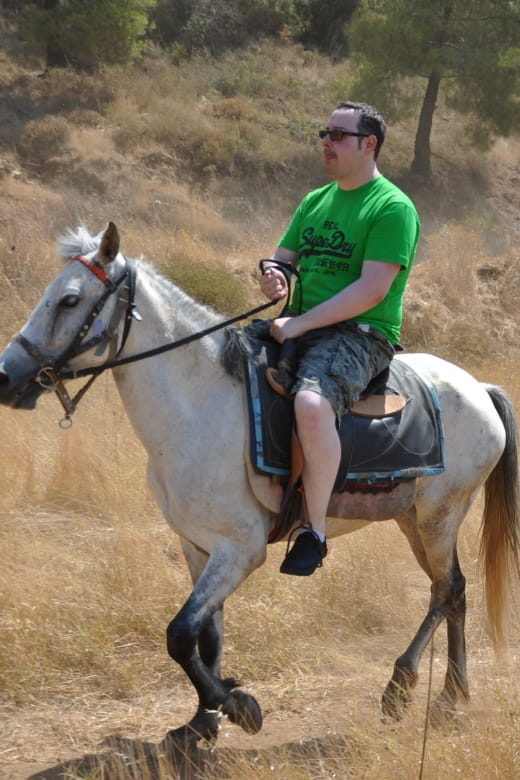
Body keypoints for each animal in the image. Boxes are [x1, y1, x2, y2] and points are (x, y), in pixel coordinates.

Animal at [0, 221, 518, 748]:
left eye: (69, 300)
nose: (6, 376)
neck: (201, 407)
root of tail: (479, 388)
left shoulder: (240, 549)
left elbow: (179, 634)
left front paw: (237, 705)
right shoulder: (197, 546)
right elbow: (207, 633)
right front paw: (202, 720)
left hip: (440, 517)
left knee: (446, 589)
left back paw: (408, 688)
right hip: (411, 518)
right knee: (453, 591)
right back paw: (449, 694)